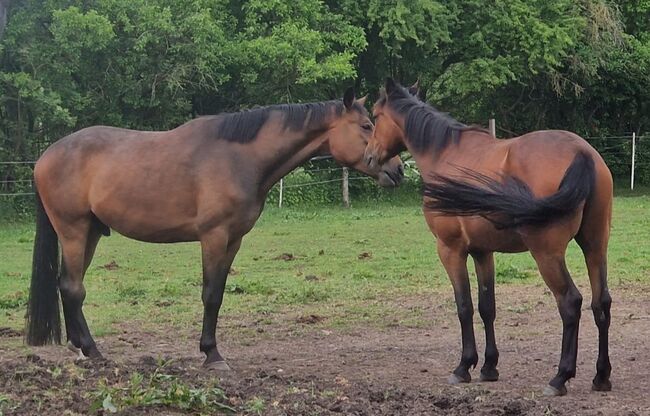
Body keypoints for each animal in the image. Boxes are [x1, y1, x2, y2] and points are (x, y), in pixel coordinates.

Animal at [27, 88, 402, 370]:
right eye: (366, 125)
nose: (397, 170)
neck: (239, 157)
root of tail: (46, 156)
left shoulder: (233, 240)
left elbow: (219, 293)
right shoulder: (213, 236)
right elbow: (210, 294)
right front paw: (212, 355)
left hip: (90, 232)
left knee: (68, 286)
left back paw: (81, 348)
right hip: (73, 231)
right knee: (73, 288)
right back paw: (91, 350)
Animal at [362, 79, 612, 396]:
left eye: (375, 116)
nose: (370, 158)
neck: (444, 155)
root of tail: (582, 153)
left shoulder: (450, 250)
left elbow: (464, 307)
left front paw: (463, 367)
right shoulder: (483, 252)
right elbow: (486, 307)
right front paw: (489, 367)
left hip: (547, 254)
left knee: (570, 302)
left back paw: (560, 378)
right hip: (595, 246)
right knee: (600, 303)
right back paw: (601, 376)